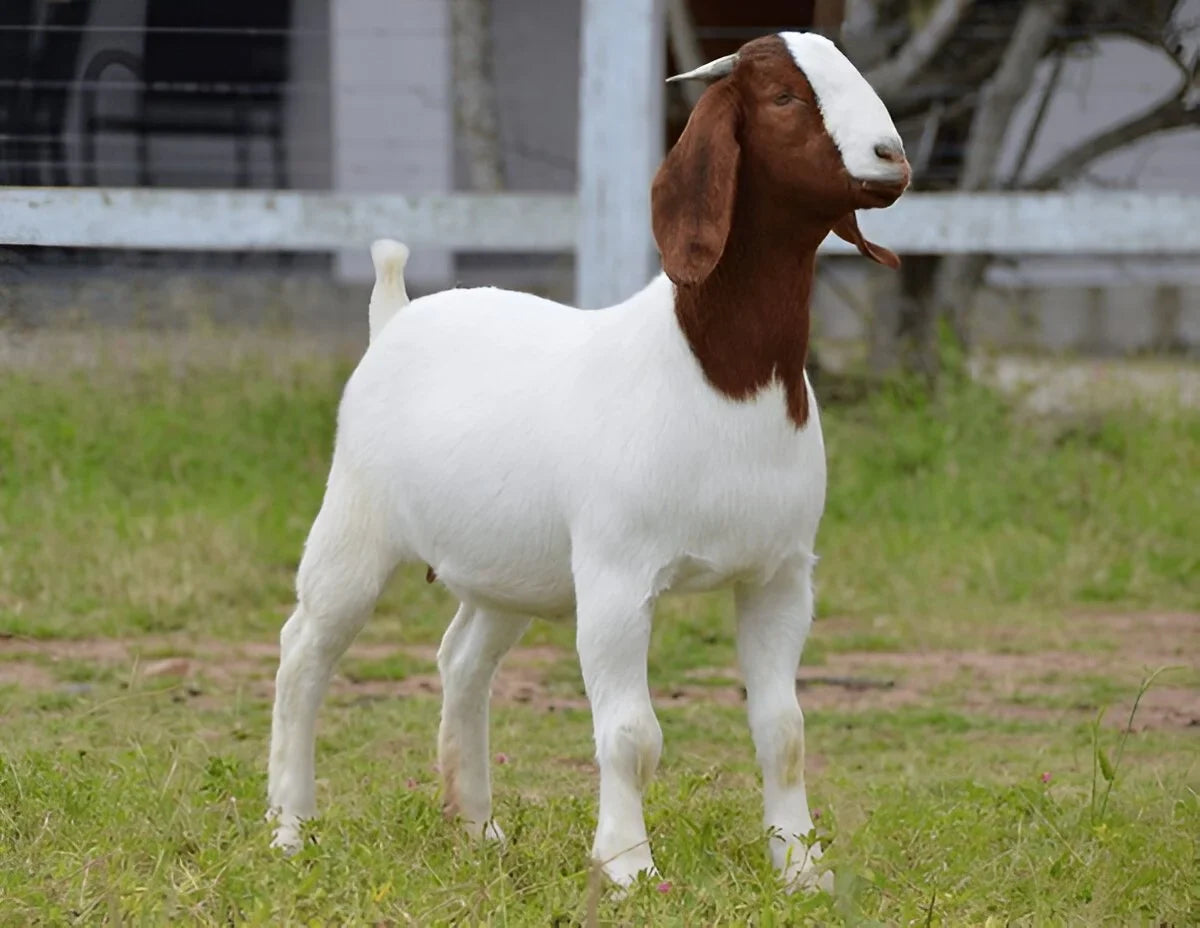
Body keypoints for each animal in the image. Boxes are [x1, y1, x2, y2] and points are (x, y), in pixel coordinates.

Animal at [267, 31, 909, 892]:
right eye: (782, 97)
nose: (892, 158)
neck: (717, 374)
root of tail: (395, 314)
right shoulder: (615, 575)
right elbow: (633, 733)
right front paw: (628, 865)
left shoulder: (778, 575)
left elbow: (785, 729)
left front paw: (802, 868)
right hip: (354, 520)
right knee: (305, 650)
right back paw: (289, 829)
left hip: (510, 564)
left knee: (461, 659)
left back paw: (477, 828)